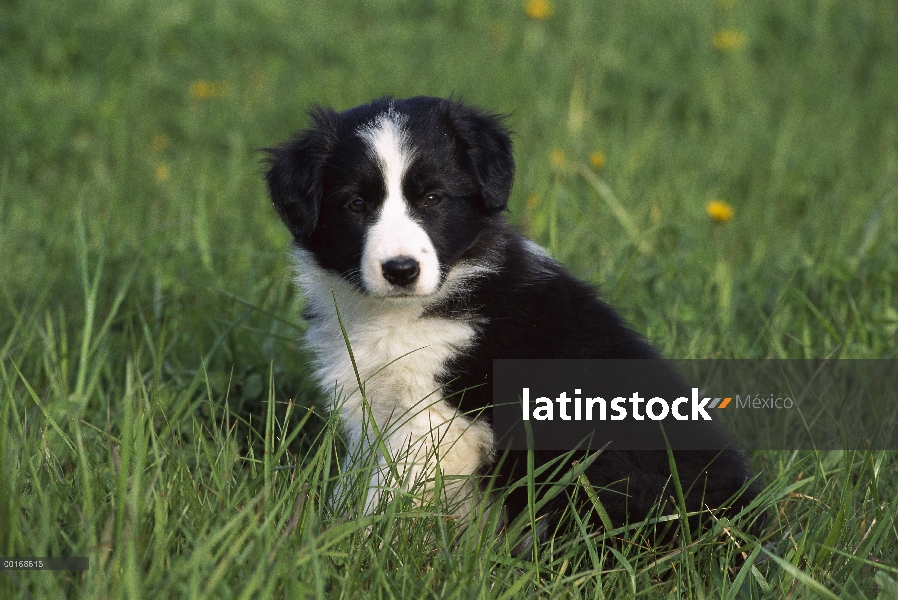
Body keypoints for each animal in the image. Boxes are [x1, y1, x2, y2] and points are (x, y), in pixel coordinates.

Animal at [262, 96, 760, 536]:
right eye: (356, 205)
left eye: (432, 198)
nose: (400, 270)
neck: (401, 313)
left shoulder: (436, 417)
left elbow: (387, 492)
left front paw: (346, 542)